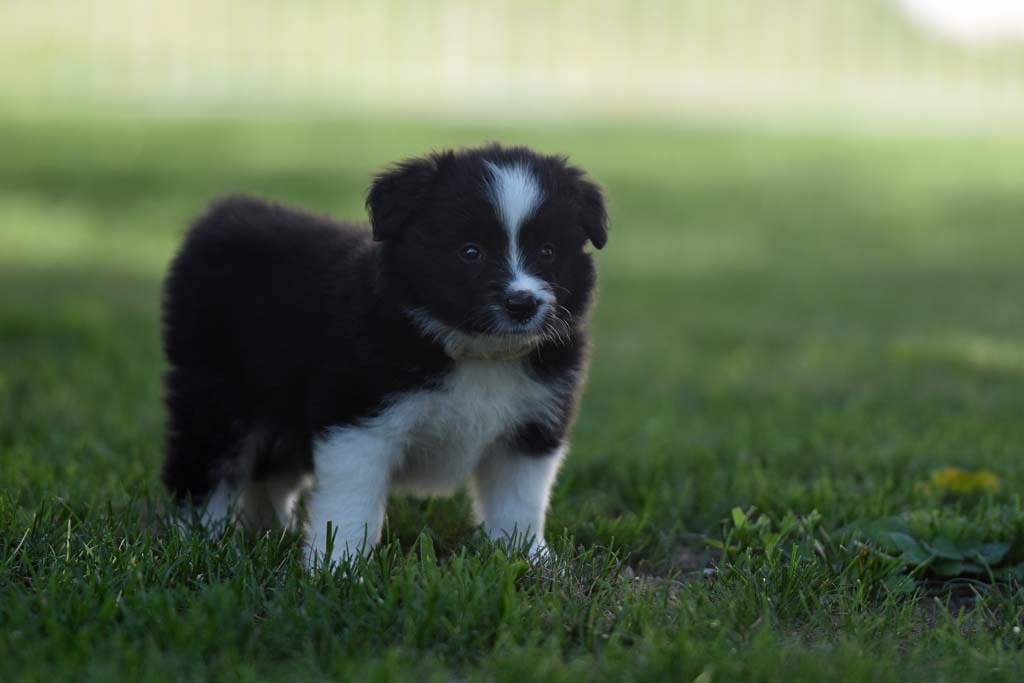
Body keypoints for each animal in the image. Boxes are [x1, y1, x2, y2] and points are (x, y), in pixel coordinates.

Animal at [160, 143, 606, 565]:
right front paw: (338, 569)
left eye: (547, 251)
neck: (477, 354)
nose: (522, 304)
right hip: (217, 391)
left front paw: (528, 559)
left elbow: (519, 503)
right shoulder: (358, 422)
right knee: (205, 467)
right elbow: (351, 506)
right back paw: (203, 542)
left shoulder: (531, 430)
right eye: (470, 252)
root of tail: (220, 216)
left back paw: (270, 531)